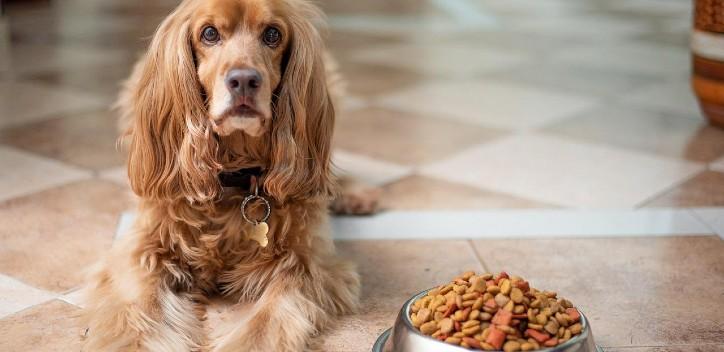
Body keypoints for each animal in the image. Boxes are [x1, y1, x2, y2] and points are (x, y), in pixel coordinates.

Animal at [83, 1, 362, 350]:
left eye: (273, 34)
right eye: (209, 33)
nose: (243, 80)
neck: (234, 178)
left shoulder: (306, 263)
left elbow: (264, 325)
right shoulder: (143, 250)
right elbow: (142, 313)